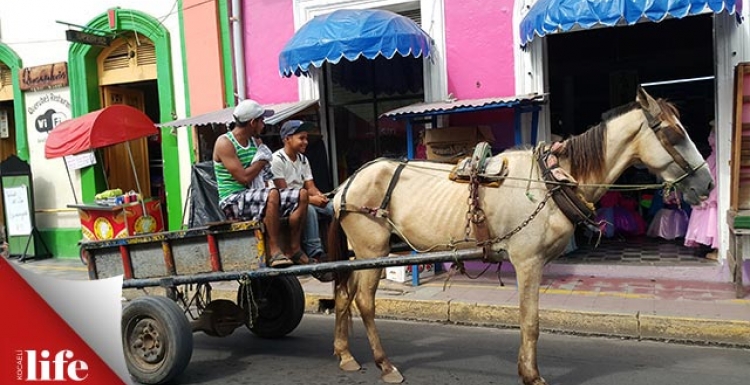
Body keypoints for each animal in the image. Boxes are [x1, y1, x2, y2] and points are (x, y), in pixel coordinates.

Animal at [328, 87, 716, 384]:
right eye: (674, 134)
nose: (708, 184)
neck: (553, 180)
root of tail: (346, 185)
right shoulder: (529, 262)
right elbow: (531, 321)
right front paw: (531, 374)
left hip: (360, 253)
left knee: (344, 295)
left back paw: (345, 354)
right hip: (371, 249)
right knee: (364, 302)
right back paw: (385, 364)